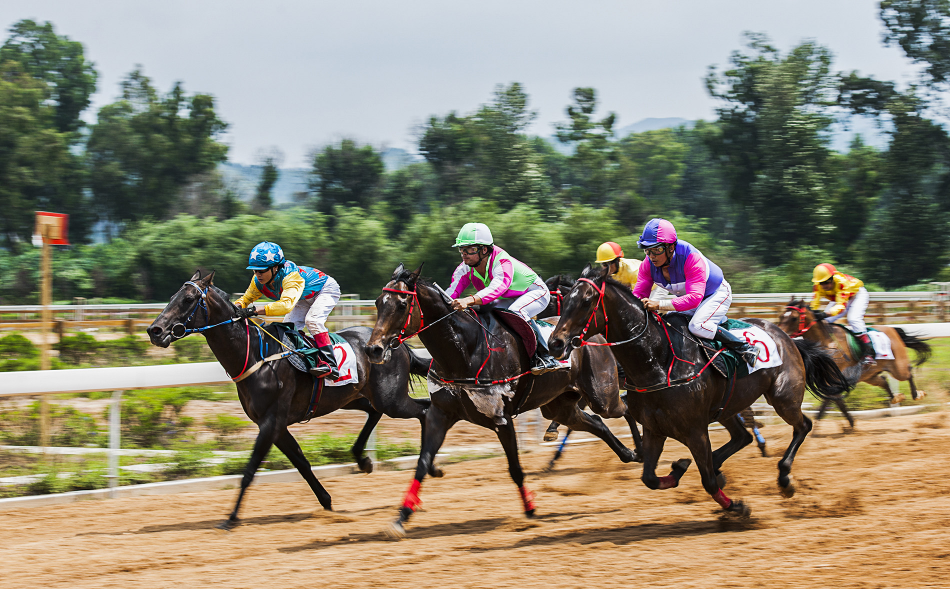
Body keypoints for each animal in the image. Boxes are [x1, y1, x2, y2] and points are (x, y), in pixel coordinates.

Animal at [147, 270, 434, 528]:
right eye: (172, 297)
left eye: (187, 299)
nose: (154, 330)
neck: (257, 357)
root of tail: (393, 342)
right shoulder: (277, 425)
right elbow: (302, 464)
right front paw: (327, 502)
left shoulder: (271, 422)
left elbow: (250, 470)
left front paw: (230, 518)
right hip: (355, 396)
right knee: (377, 412)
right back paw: (363, 460)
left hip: (390, 398)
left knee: (423, 411)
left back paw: (428, 465)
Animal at [366, 264, 640, 536]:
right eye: (378, 302)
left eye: (402, 305)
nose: (373, 349)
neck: (463, 351)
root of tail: (594, 336)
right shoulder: (440, 414)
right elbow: (422, 462)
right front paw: (401, 517)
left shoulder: (502, 418)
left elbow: (515, 468)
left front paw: (530, 509)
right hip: (559, 407)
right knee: (598, 423)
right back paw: (629, 453)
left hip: (602, 394)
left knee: (626, 407)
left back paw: (639, 450)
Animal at [548, 262, 852, 516]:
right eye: (566, 300)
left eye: (586, 301)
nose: (555, 343)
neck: (657, 360)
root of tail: (787, 337)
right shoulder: (655, 428)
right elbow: (649, 478)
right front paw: (679, 467)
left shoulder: (695, 430)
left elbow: (706, 481)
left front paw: (737, 507)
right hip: (728, 407)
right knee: (742, 436)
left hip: (783, 397)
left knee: (802, 426)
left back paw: (784, 478)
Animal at [780, 298, 928, 404]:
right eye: (781, 316)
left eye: (794, 318)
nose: (781, 333)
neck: (826, 341)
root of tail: (893, 330)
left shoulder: (837, 377)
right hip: (869, 375)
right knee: (884, 381)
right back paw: (896, 397)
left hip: (898, 368)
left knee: (908, 372)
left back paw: (917, 394)